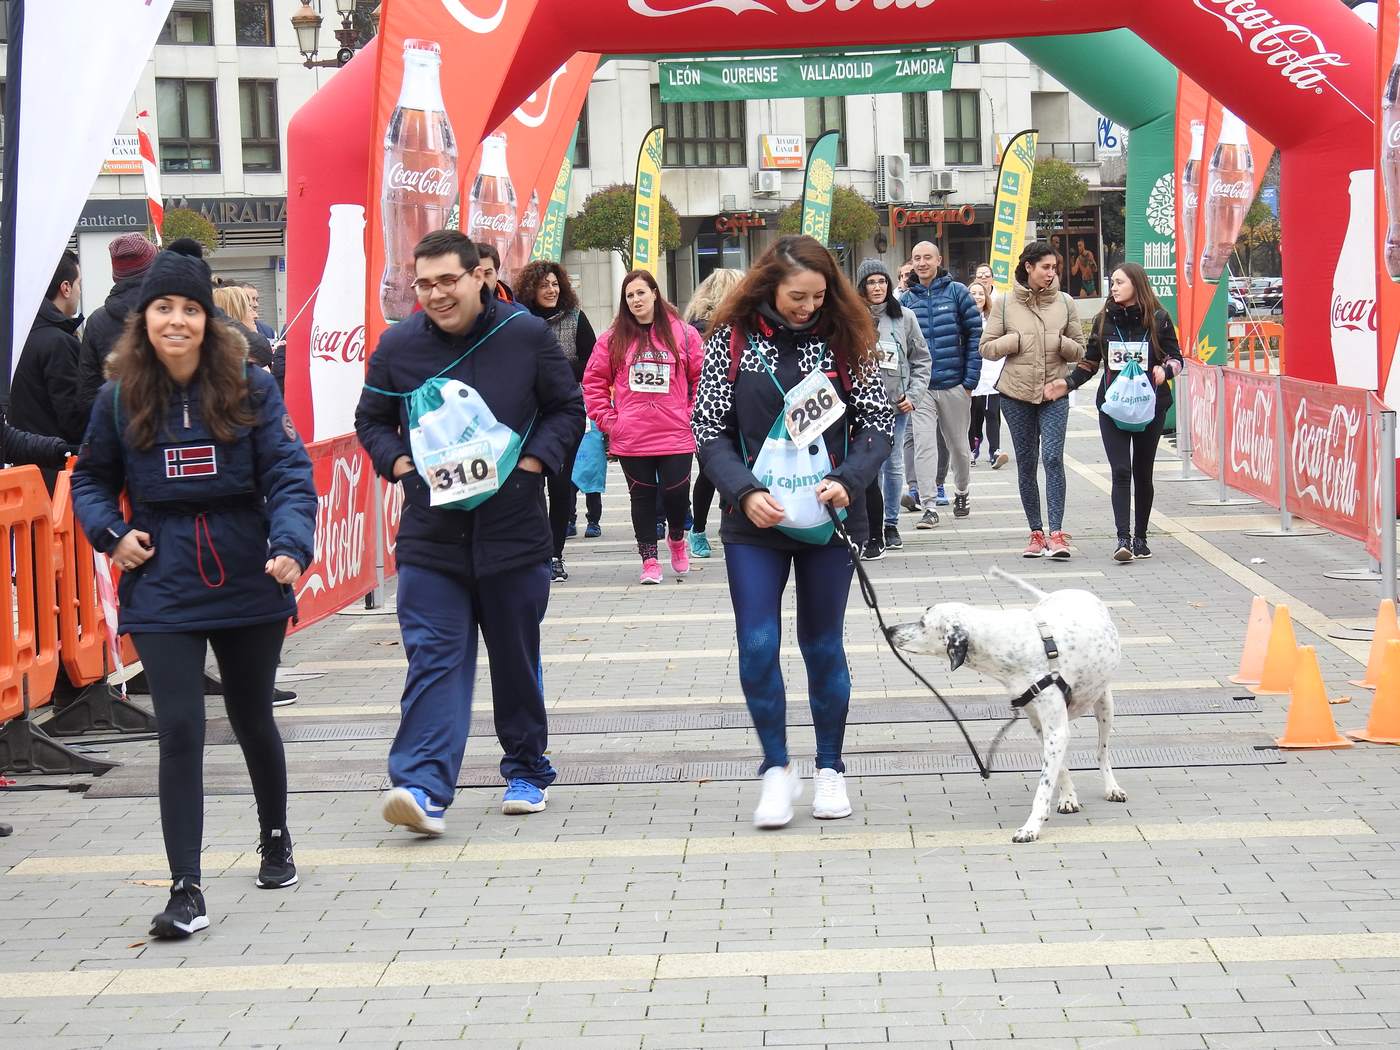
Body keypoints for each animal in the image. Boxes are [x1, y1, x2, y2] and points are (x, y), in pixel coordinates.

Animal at [890, 568, 1131, 845]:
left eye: (922, 622)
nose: (889, 629)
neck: (1010, 644)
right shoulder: (1042, 727)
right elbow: (1058, 770)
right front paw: (1067, 797)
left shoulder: (1056, 731)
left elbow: (1043, 787)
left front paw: (1031, 827)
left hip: (1105, 705)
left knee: (1102, 752)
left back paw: (1112, 787)